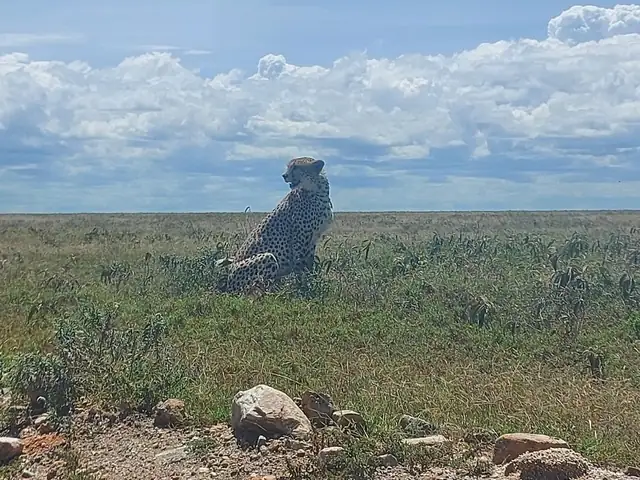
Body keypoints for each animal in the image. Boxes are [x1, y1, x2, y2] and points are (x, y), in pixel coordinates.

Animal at [217, 156, 334, 293]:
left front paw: (312, 281)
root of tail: (228, 283)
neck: (317, 190)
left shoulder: (312, 239)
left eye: (296, 167)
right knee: (255, 289)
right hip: (268, 258)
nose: (284, 175)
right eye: (288, 167)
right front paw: (303, 287)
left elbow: (309, 265)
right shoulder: (299, 239)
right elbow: (300, 265)